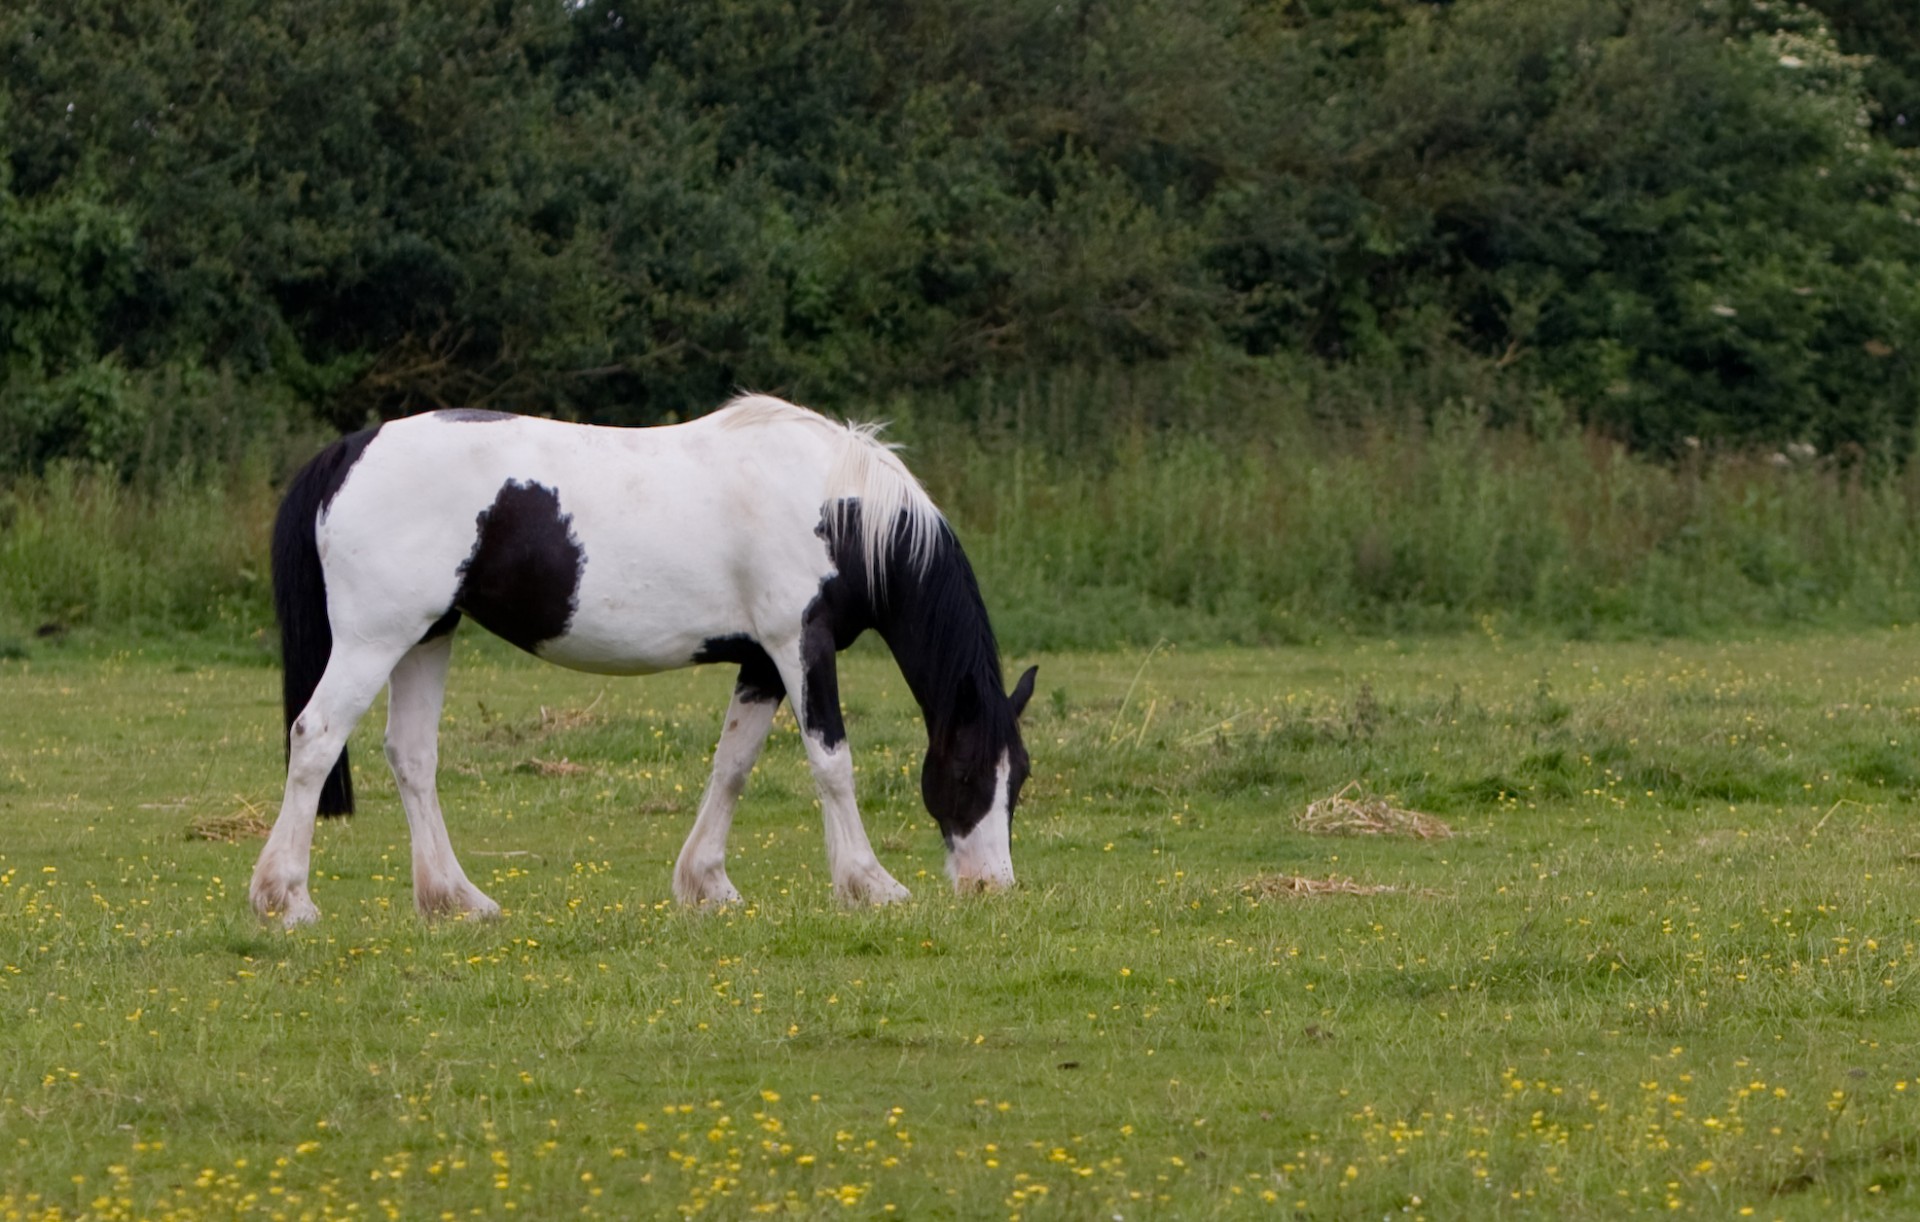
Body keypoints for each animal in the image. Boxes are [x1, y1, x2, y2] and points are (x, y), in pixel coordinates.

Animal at [253, 393, 1044, 926]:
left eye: (1021, 777)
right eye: (966, 774)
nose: (990, 887)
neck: (839, 508)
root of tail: (353, 449)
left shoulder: (761, 663)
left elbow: (733, 766)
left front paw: (707, 884)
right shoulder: (799, 645)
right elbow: (831, 763)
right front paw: (869, 883)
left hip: (427, 634)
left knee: (412, 756)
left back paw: (458, 899)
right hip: (375, 639)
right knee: (316, 737)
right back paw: (286, 898)